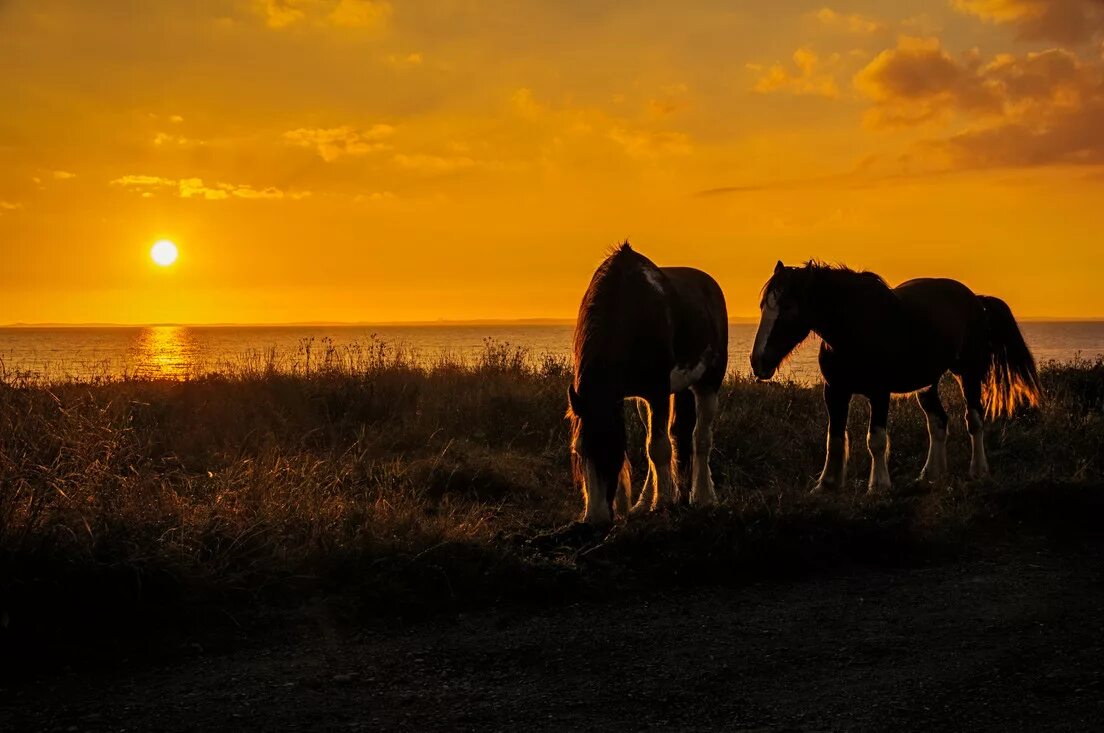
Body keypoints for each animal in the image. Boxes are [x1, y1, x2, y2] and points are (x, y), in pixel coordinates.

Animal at [565, 242, 728, 523]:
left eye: (608, 446)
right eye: (579, 451)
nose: (595, 518)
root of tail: (710, 285)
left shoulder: (658, 392)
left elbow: (658, 447)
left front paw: (662, 502)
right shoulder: (626, 397)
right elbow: (645, 448)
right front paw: (633, 506)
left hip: (708, 384)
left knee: (701, 437)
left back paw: (703, 497)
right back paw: (649, 501)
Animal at [746, 261, 1037, 492]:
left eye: (788, 307)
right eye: (762, 306)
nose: (758, 361)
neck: (856, 327)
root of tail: (976, 299)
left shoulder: (879, 393)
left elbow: (875, 440)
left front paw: (878, 485)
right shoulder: (835, 391)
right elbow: (835, 438)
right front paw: (826, 484)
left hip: (969, 373)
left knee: (974, 419)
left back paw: (978, 470)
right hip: (927, 384)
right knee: (938, 422)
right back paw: (930, 476)